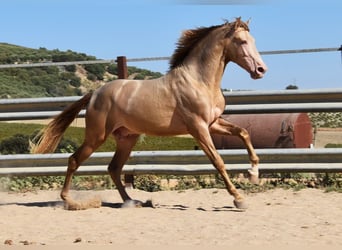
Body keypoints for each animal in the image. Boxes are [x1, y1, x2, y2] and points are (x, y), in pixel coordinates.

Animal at [32, 18, 268, 209]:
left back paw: (131, 201)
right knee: (74, 160)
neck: (199, 81)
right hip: (96, 136)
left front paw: (254, 174)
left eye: (253, 40)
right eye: (242, 41)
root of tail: (95, 93)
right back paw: (68, 201)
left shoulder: (213, 123)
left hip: (127, 138)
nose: (260, 70)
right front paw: (239, 199)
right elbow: (218, 161)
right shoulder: (198, 128)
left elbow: (244, 132)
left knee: (114, 168)